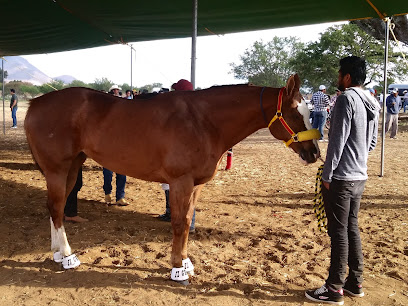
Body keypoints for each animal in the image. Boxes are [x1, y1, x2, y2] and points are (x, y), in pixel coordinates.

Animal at [23, 73, 320, 284]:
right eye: (296, 113)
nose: (314, 153)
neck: (204, 122)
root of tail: (36, 103)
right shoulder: (181, 182)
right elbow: (179, 222)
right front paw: (178, 270)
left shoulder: (195, 185)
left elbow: (188, 219)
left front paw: (186, 261)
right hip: (58, 169)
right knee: (57, 208)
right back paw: (68, 257)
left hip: (73, 166)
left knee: (56, 208)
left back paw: (57, 252)